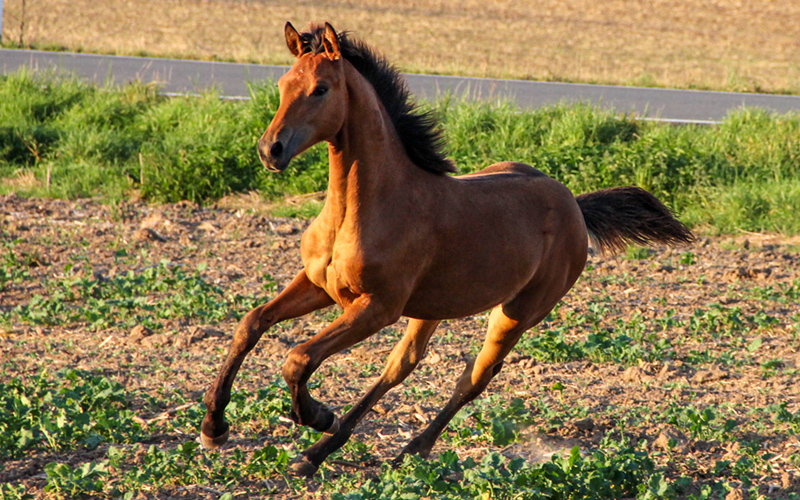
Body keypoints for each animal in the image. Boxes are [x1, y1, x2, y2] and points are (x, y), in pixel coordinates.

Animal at [200, 22, 692, 476]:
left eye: (320, 89)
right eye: (284, 84)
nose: (271, 149)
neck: (362, 208)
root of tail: (574, 203)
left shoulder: (377, 307)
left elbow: (298, 357)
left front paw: (318, 415)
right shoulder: (319, 285)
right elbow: (251, 324)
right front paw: (214, 428)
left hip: (516, 313)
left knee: (473, 378)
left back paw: (406, 449)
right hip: (431, 308)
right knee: (400, 366)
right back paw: (318, 454)